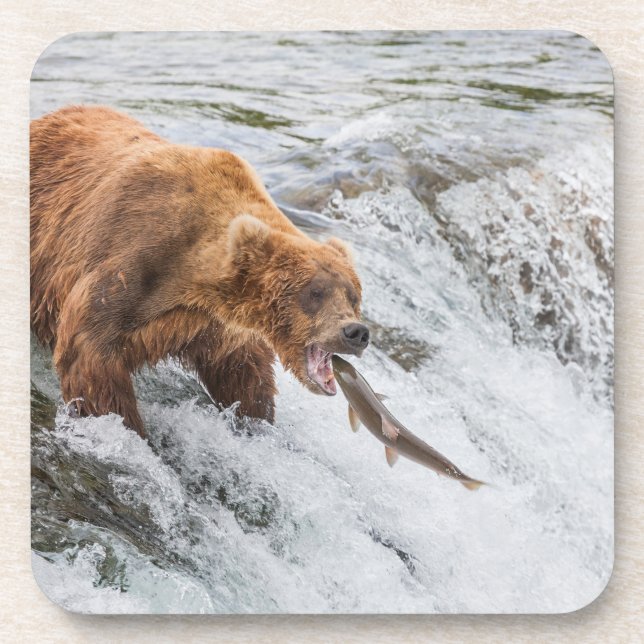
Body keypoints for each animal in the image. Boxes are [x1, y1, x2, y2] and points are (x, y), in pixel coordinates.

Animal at [30, 105, 369, 437]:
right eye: (315, 292)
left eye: (353, 296)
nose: (356, 332)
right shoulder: (131, 264)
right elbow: (89, 354)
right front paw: (127, 426)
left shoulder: (214, 325)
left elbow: (243, 372)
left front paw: (255, 419)